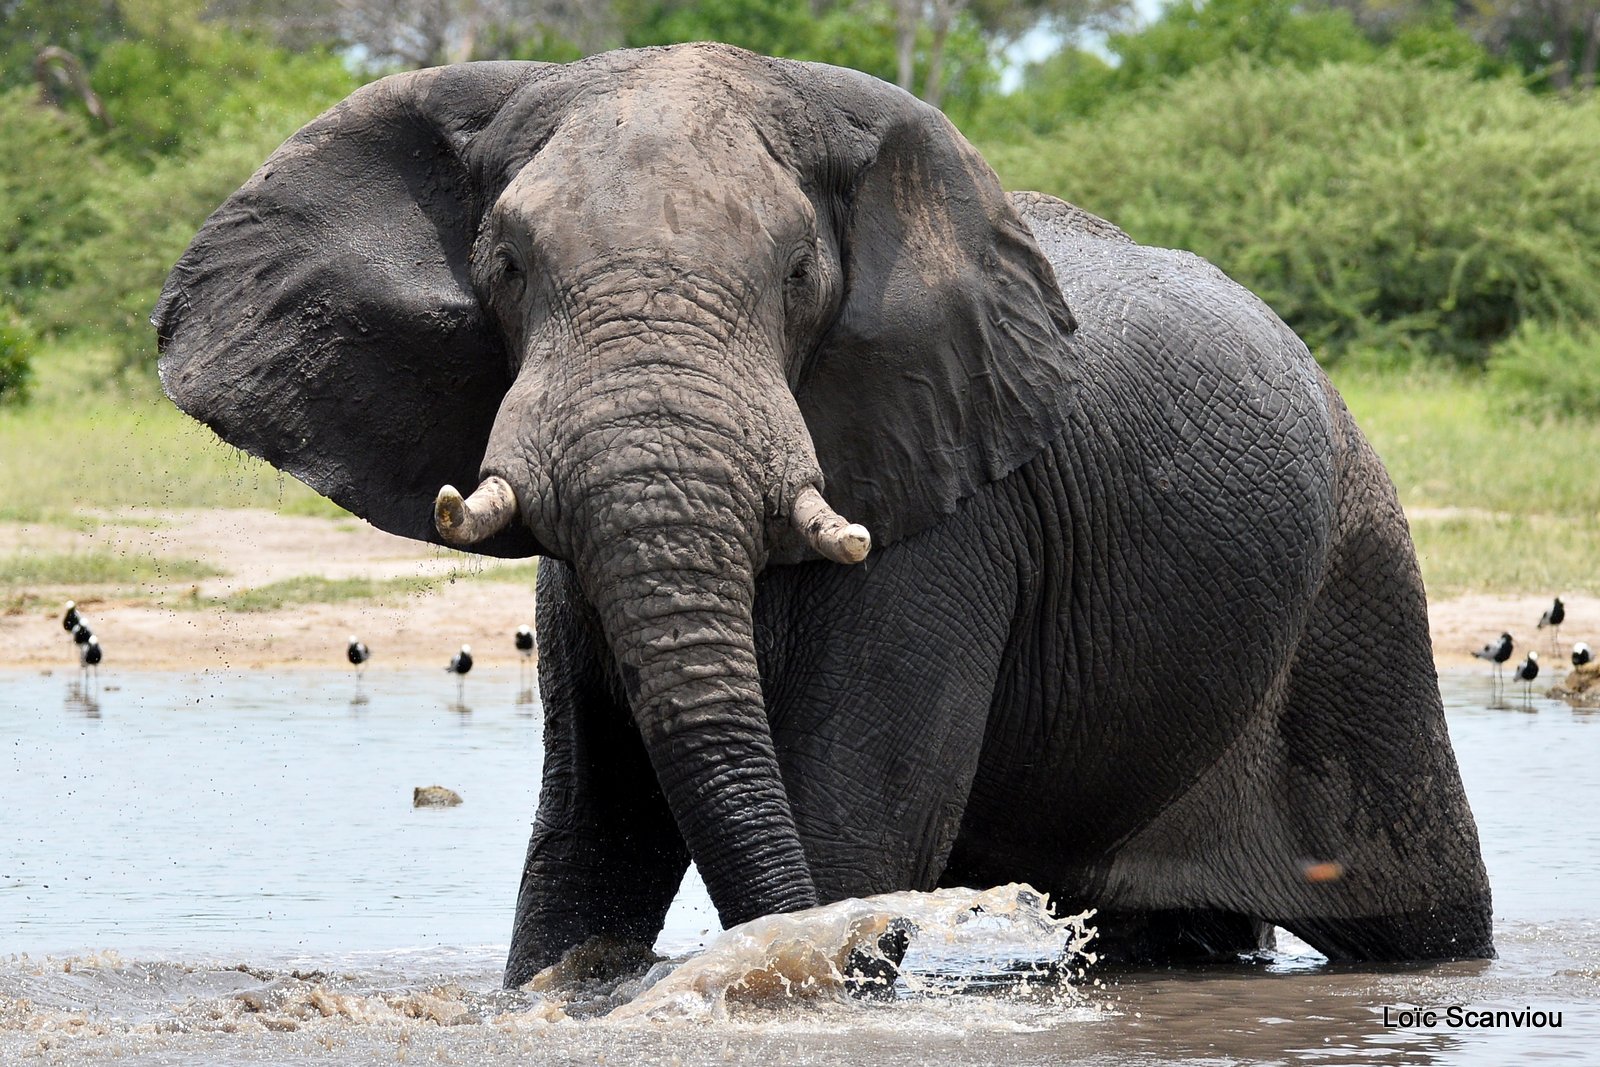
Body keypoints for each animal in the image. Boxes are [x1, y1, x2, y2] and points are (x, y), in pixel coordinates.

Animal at [156, 45, 1491, 991]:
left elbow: (853, 831)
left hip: (1357, 575)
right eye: (507, 266)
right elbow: (589, 837)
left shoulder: (951, 531)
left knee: (1423, 913)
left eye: (799, 273)